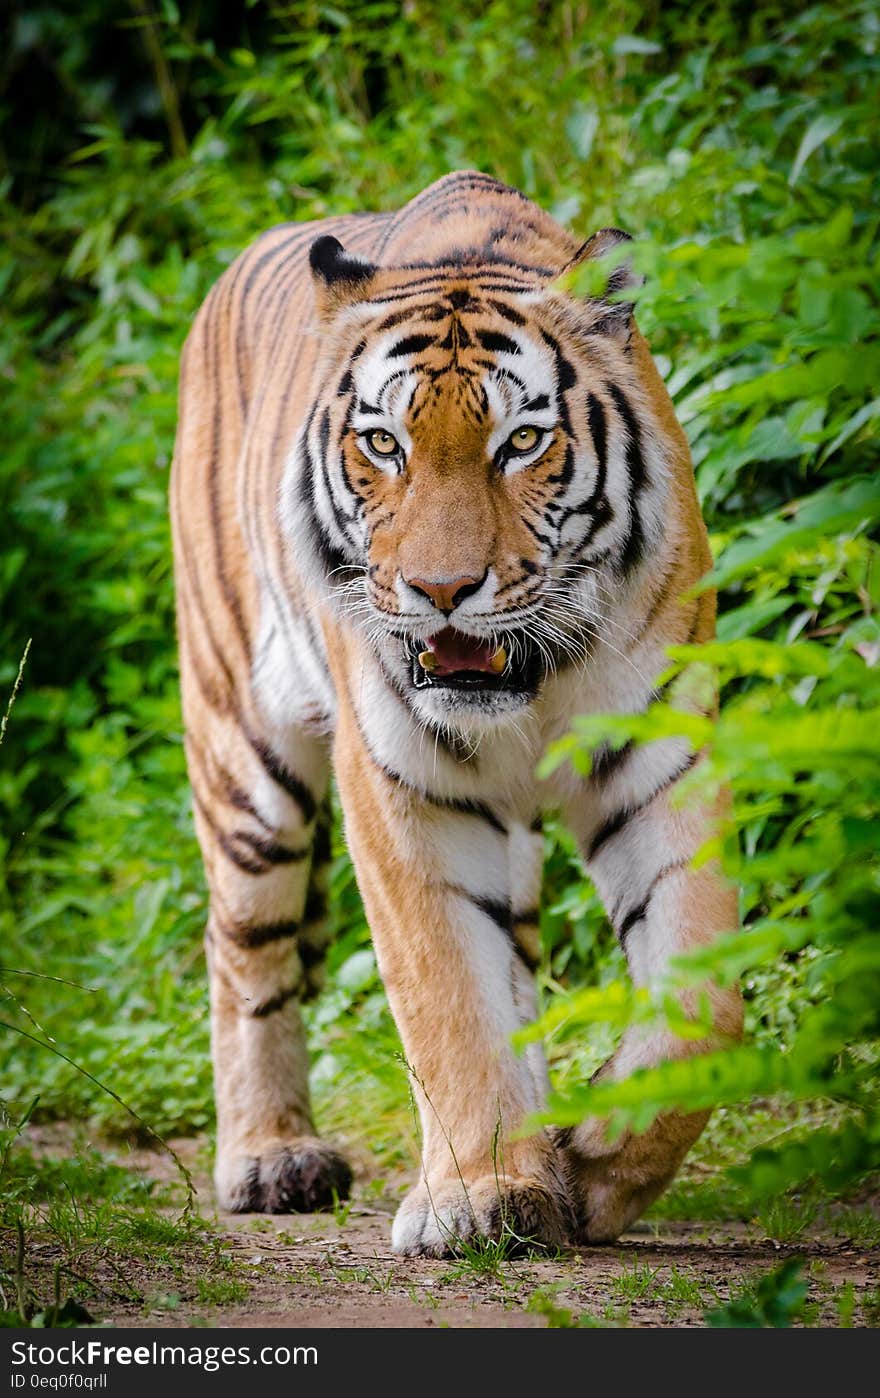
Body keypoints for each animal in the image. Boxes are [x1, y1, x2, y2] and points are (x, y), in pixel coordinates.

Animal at [167, 166, 738, 1258]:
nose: (440, 591)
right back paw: (271, 1159)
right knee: (245, 949)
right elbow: (447, 996)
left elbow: (702, 999)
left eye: (522, 441)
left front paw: (592, 1168)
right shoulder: (405, 785)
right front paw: (481, 1194)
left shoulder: (659, 757)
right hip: (245, 758)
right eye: (382, 444)